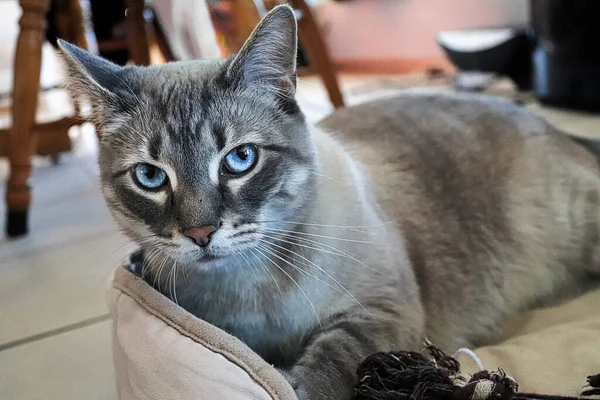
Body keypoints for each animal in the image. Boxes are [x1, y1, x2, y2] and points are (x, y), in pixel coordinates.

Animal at [59, 6, 600, 400]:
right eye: (150, 177)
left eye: (240, 160)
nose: (199, 233)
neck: (245, 291)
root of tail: (553, 129)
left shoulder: (379, 315)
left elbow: (329, 362)